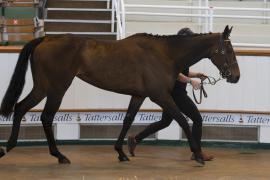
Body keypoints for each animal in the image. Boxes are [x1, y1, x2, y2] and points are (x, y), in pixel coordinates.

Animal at [0, 25, 240, 166]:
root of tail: (46, 39)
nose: (236, 77)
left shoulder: (139, 95)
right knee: (46, 117)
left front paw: (121, 152)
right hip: (57, 89)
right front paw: (198, 154)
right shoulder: (160, 96)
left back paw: (8, 147)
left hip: (42, 87)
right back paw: (58, 155)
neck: (165, 54)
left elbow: (127, 120)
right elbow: (182, 120)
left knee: (20, 108)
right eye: (228, 50)